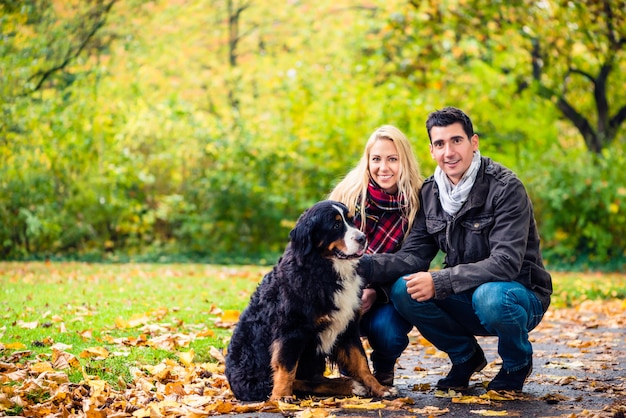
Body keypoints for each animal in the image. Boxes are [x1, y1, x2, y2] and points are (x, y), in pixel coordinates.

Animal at [224, 199, 390, 402]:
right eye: (336, 226)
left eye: (352, 221)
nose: (362, 238)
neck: (324, 270)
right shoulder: (292, 330)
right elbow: (286, 367)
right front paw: (281, 397)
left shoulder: (348, 328)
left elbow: (361, 362)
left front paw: (380, 388)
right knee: (301, 382)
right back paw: (349, 385)